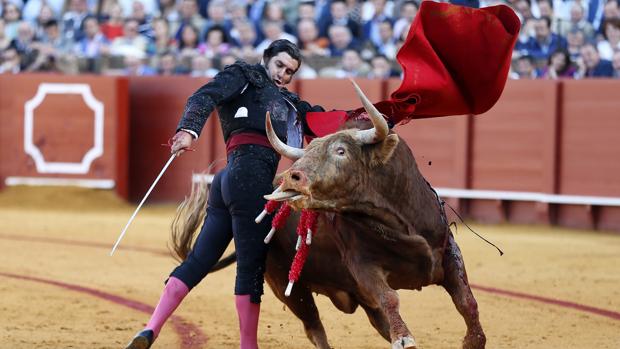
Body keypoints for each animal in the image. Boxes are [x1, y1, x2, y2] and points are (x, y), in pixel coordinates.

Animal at [172, 81, 486, 348]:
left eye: (341, 150)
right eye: (309, 150)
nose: (292, 177)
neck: (396, 219)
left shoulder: (447, 251)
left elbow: (467, 301)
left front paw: (474, 341)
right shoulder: (363, 264)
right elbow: (390, 297)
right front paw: (405, 338)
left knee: (375, 321)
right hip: (287, 285)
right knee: (314, 327)